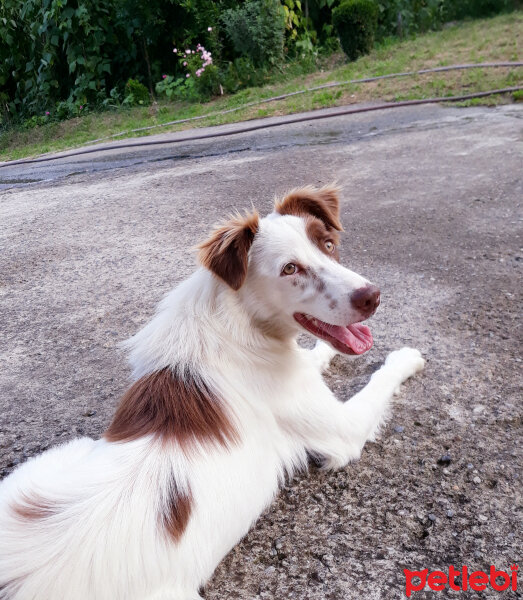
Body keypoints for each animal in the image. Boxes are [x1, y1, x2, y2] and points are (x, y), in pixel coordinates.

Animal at [0, 185, 426, 596]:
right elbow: (379, 379)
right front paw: (407, 357)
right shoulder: (342, 432)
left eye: (328, 245)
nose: (372, 296)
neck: (236, 322)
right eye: (290, 269)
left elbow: (316, 353)